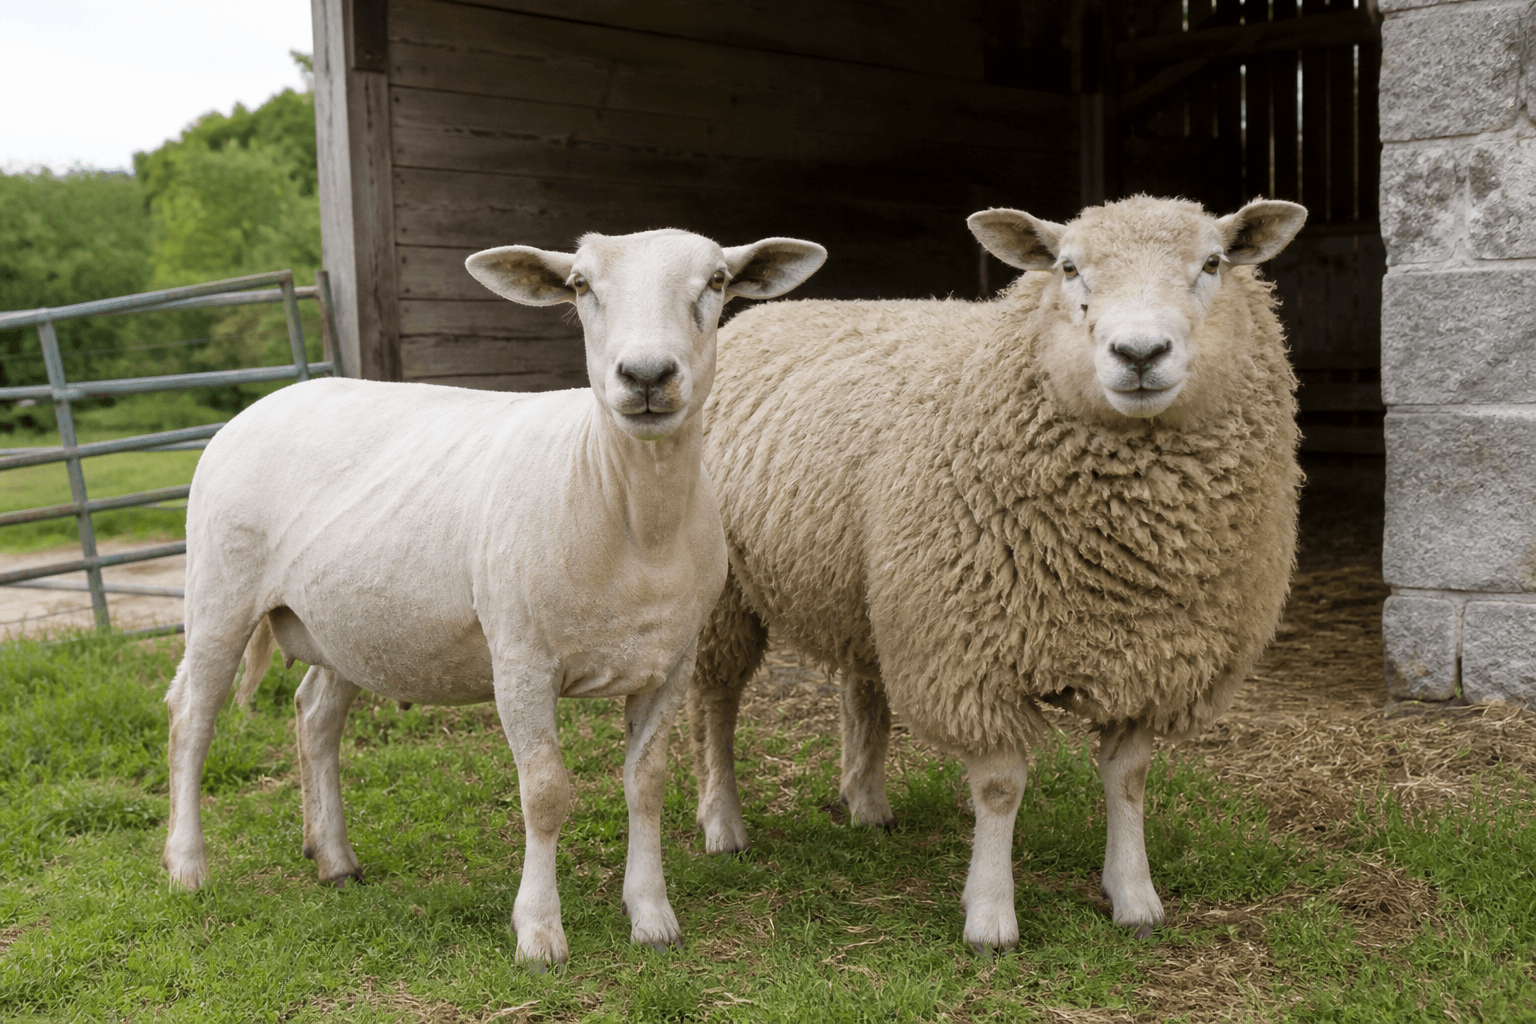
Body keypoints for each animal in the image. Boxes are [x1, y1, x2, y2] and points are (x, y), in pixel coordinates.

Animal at [160, 227, 827, 970]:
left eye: (716, 282)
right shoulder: (521, 659)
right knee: (192, 717)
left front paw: (652, 916)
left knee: (314, 718)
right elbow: (545, 794)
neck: (631, 516)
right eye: (580, 287)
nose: (648, 376)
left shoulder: (670, 663)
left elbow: (647, 785)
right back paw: (187, 866)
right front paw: (539, 933)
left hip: (348, 624)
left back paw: (334, 859)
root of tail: (269, 401)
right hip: (220, 591)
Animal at [687, 195, 1307, 952]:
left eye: (1213, 263)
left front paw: (1134, 896)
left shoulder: (1148, 660)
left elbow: (1129, 779)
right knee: (716, 704)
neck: (1125, 560)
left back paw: (867, 805)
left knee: (863, 690)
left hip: (875, 593)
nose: (1139, 354)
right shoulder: (970, 652)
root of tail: (763, 315)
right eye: (1068, 268)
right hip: (726, 596)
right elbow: (1000, 789)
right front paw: (990, 916)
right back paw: (724, 824)